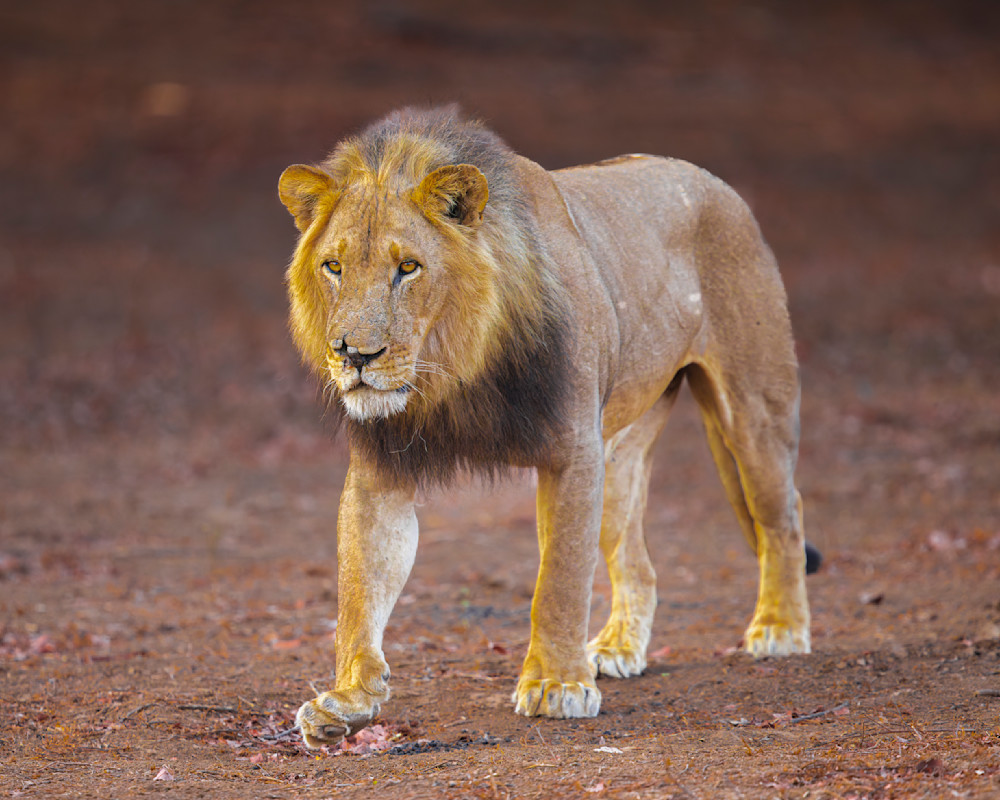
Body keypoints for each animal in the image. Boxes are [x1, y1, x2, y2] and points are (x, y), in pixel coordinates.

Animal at [278, 106, 817, 748]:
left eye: (407, 268)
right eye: (332, 266)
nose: (354, 355)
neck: (456, 373)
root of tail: (714, 182)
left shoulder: (571, 452)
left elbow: (558, 579)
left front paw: (557, 685)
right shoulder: (380, 470)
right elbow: (359, 591)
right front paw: (348, 700)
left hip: (752, 410)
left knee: (782, 517)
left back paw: (780, 629)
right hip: (620, 454)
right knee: (638, 560)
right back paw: (619, 647)